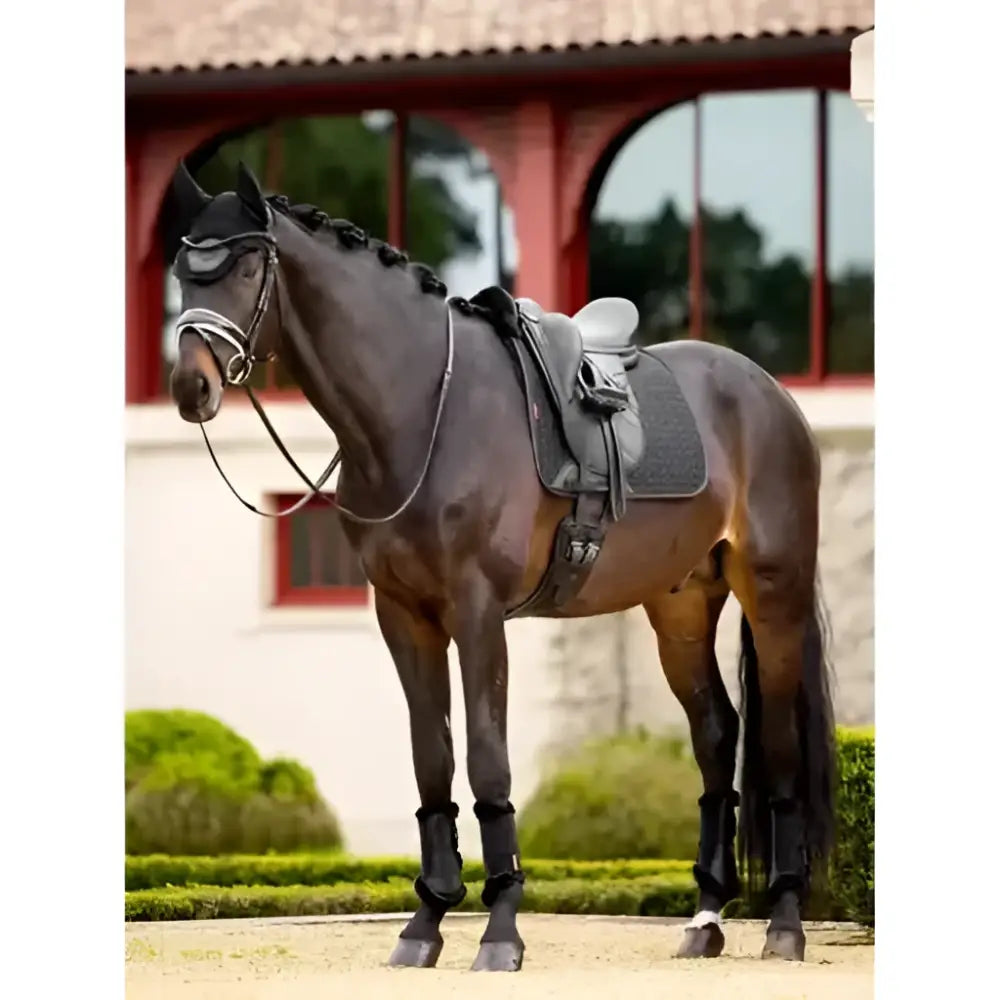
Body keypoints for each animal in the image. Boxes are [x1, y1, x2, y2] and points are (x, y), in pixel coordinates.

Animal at [164, 160, 836, 972]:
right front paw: (424, 924)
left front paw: (501, 930)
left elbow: (488, 760)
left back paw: (785, 924)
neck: (424, 411)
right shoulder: (404, 615)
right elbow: (432, 758)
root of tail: (770, 395)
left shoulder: (479, 612)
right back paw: (705, 919)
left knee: (777, 744)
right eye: (183, 272)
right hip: (679, 605)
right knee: (716, 734)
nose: (191, 386)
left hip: (773, 592)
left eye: (246, 266)